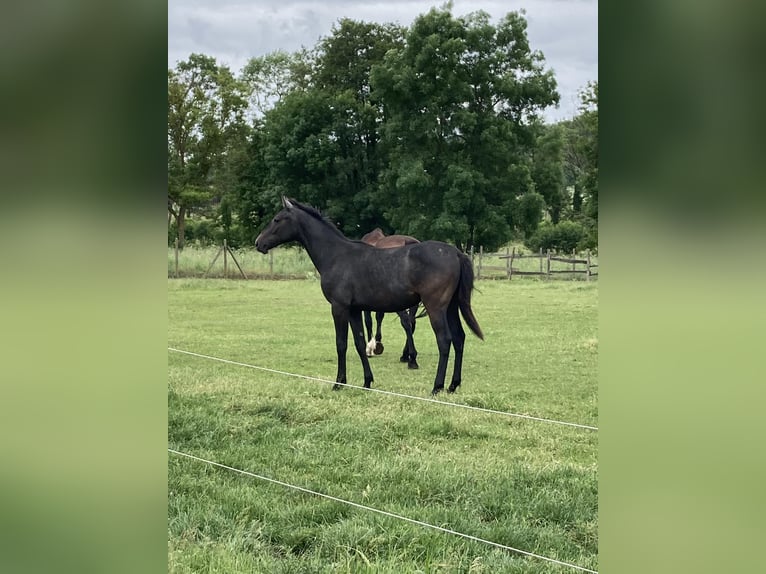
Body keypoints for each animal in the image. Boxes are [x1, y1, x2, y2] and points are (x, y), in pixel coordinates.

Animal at [362, 227, 424, 372]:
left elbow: (368, 321)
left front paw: (370, 348)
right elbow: (379, 317)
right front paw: (377, 343)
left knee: (406, 322)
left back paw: (411, 359)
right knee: (411, 322)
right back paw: (405, 355)